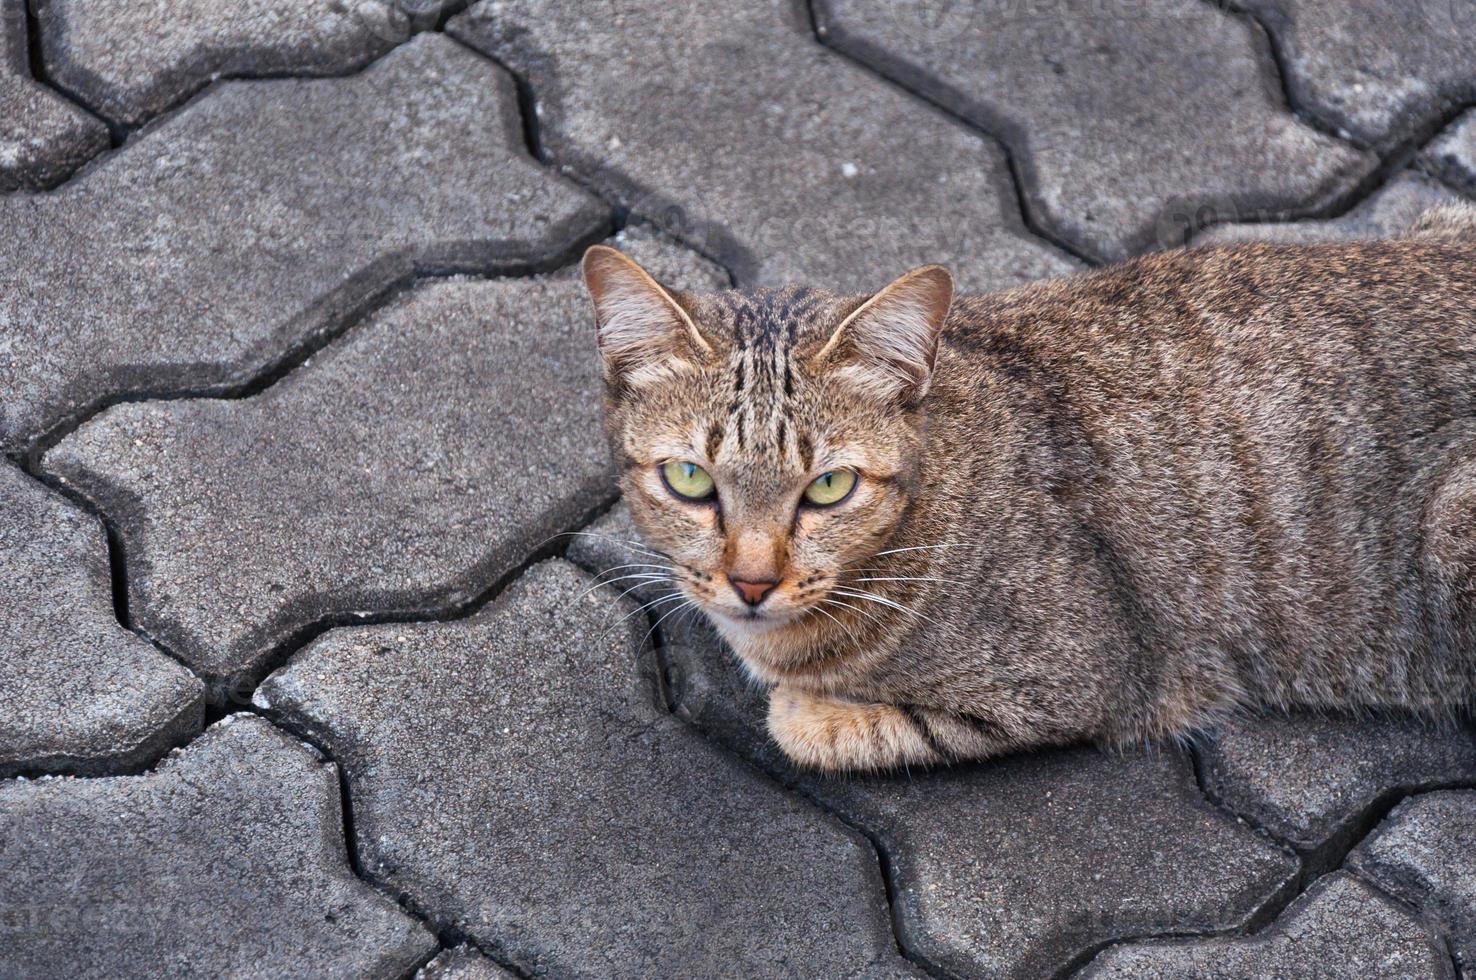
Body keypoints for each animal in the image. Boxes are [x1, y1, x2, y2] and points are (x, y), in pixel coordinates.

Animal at [581, 205, 1476, 773]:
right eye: (691, 479)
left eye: (829, 487)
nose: (752, 581)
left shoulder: (1076, 679)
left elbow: (817, 727)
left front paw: (809, 707)